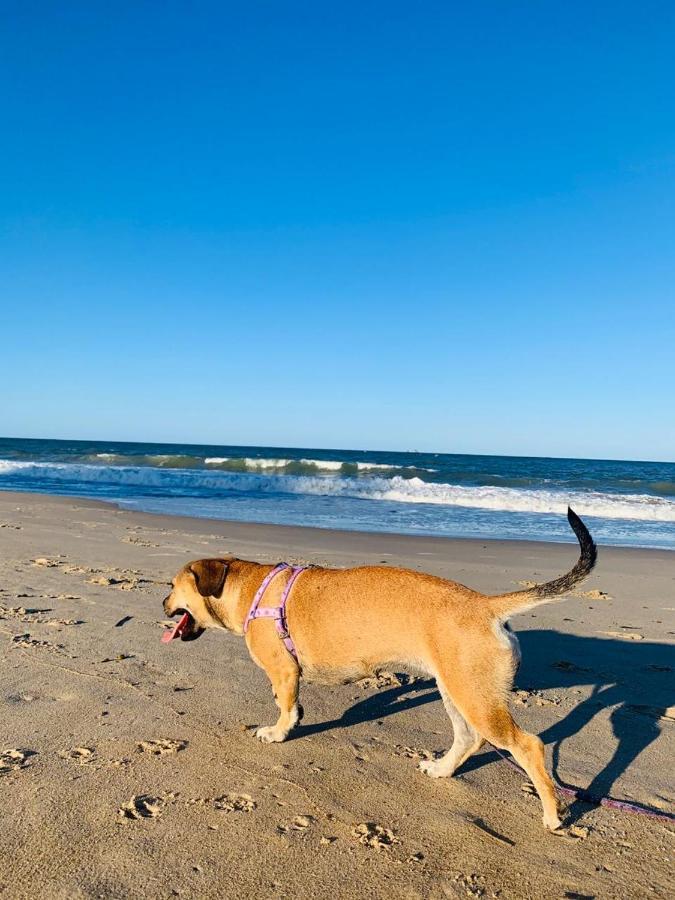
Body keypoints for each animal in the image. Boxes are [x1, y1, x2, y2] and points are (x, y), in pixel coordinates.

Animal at [164, 506, 596, 828]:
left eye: (171, 586)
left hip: (475, 697)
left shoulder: (285, 671)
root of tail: (485, 605)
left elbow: (284, 705)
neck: (249, 588)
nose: (161, 604)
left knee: (528, 745)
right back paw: (442, 770)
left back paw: (552, 814)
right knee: (468, 739)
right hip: (455, 690)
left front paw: (278, 731)